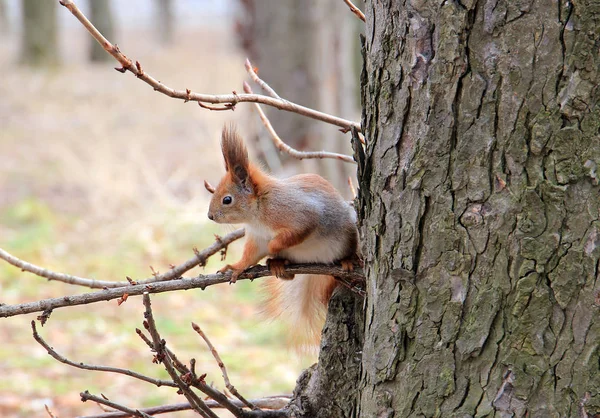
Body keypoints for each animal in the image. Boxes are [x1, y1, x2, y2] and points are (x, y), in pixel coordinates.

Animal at [206, 125, 358, 348]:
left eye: (227, 199)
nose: (210, 216)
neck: (258, 213)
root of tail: (315, 262)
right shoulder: (257, 238)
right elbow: (250, 256)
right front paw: (236, 267)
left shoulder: (301, 216)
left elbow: (294, 234)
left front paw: (274, 247)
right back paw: (278, 265)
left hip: (349, 234)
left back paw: (348, 260)